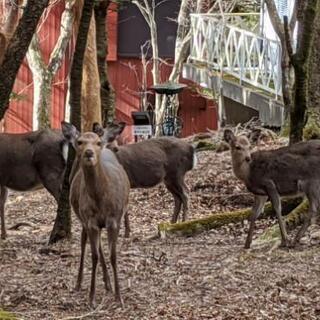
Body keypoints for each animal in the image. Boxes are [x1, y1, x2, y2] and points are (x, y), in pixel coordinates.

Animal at [62, 121, 130, 306]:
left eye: (98, 142)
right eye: (80, 142)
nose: (89, 153)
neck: (101, 199)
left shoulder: (114, 219)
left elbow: (113, 255)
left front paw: (119, 297)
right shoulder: (90, 221)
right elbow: (94, 256)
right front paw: (91, 298)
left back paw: (108, 284)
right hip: (82, 217)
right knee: (85, 242)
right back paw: (80, 283)